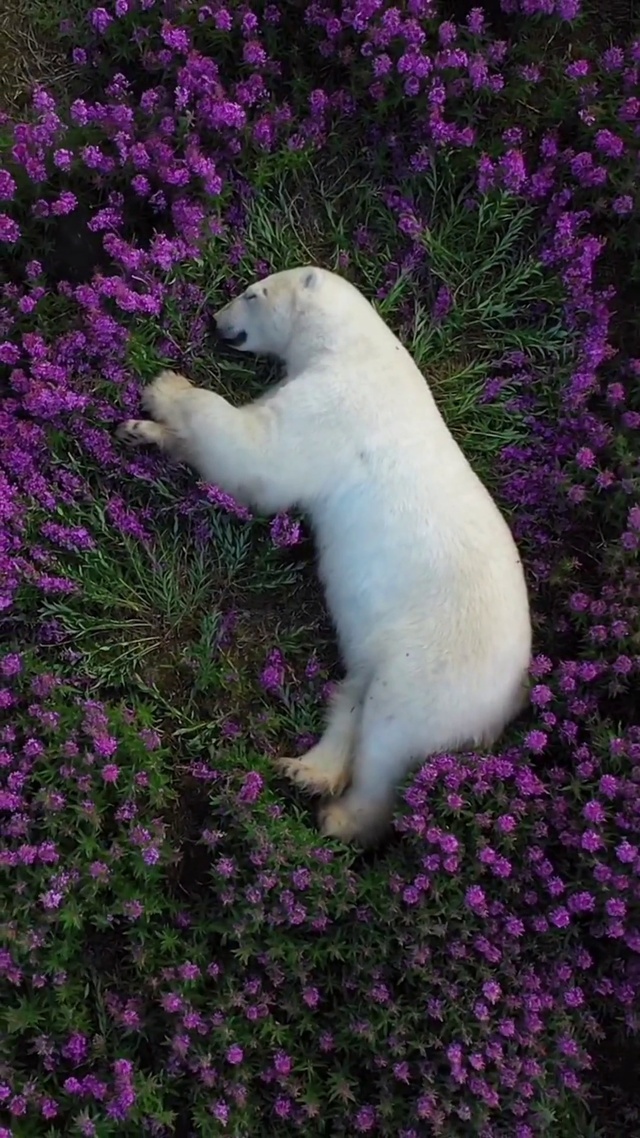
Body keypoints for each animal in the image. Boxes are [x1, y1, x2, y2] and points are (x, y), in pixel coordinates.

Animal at [116, 265, 532, 846]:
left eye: (252, 293)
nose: (215, 320)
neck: (356, 348)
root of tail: (512, 697)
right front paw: (140, 432)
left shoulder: (334, 407)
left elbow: (258, 455)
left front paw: (165, 388)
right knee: (352, 694)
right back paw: (306, 770)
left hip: (436, 668)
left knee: (388, 736)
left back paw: (340, 817)